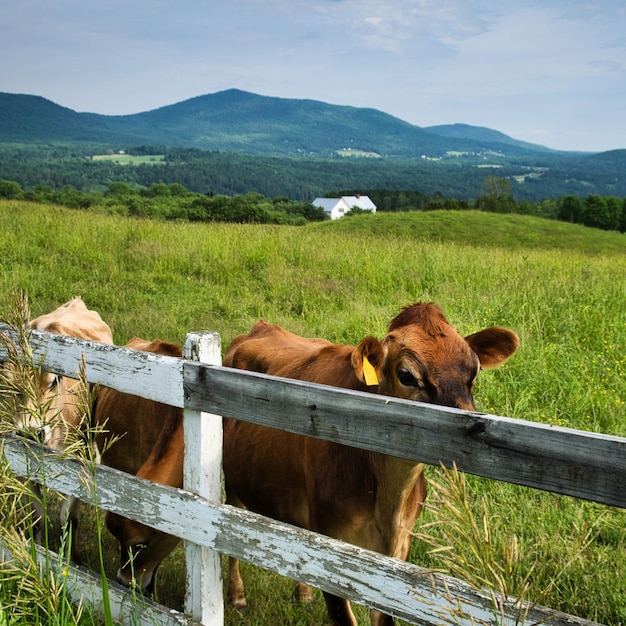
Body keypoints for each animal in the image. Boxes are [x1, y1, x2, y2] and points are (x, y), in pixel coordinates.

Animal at [223, 300, 516, 620]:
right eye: (407, 376)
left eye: (474, 372)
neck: (387, 501)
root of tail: (262, 327)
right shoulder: (331, 545)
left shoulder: (397, 551)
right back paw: (236, 595)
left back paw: (303, 593)